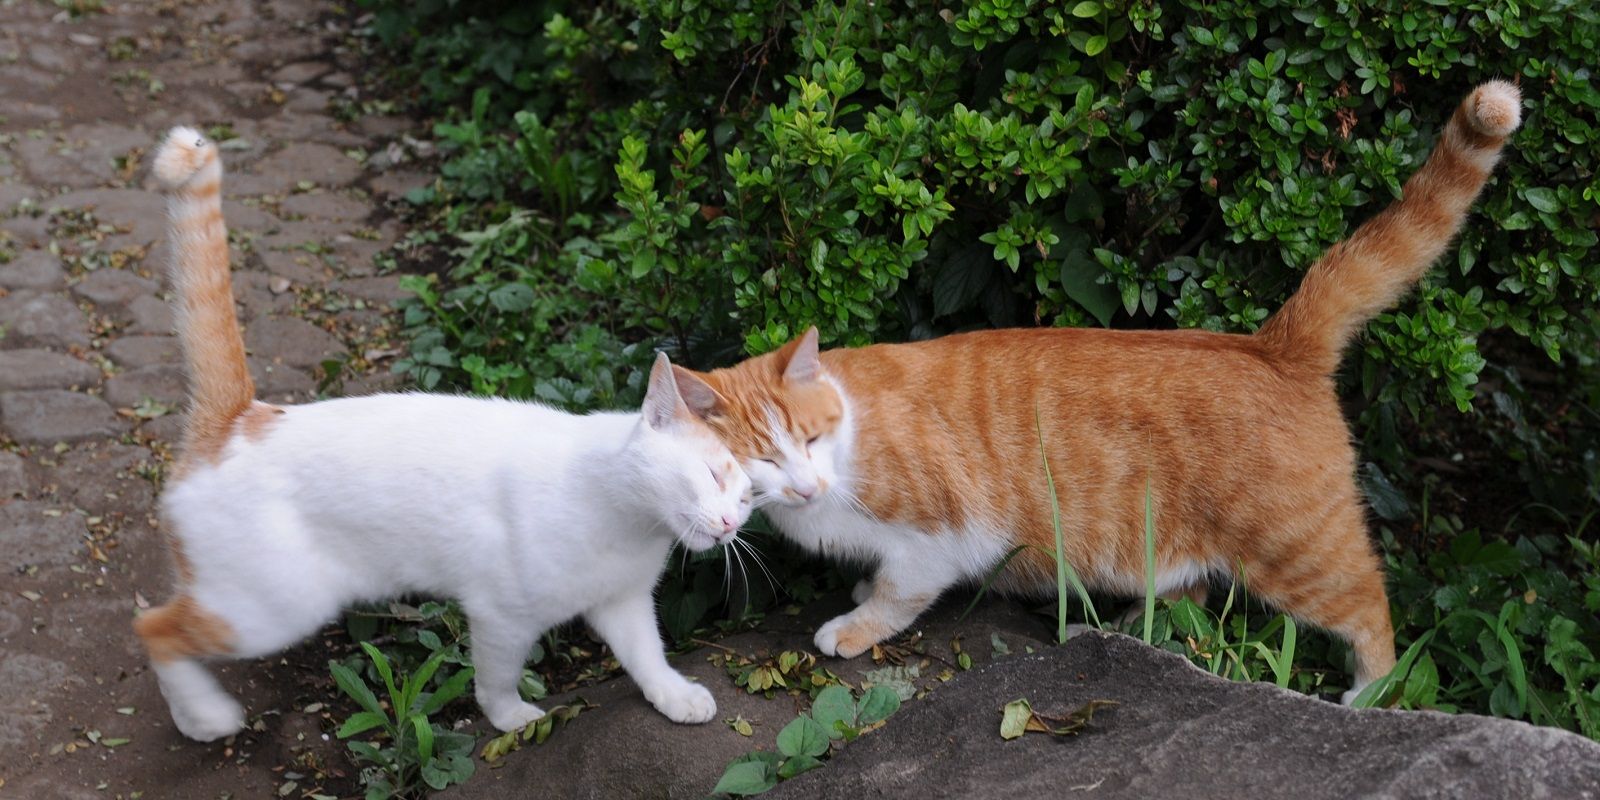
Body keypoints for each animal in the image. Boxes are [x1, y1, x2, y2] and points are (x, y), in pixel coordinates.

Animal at [134, 126, 752, 742]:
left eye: (747, 498)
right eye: (712, 473)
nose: (729, 523)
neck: (630, 523)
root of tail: (242, 416)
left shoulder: (622, 603)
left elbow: (648, 656)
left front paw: (675, 695)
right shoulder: (501, 614)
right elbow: (497, 679)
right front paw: (511, 720)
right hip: (271, 608)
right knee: (152, 626)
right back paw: (203, 716)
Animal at [668, 84, 1516, 704]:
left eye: (809, 440)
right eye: (758, 460)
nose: (807, 487)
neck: (845, 443)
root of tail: (1270, 343)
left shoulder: (942, 537)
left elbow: (897, 594)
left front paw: (850, 626)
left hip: (1300, 553)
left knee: (1371, 606)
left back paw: (1367, 697)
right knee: (1190, 600)